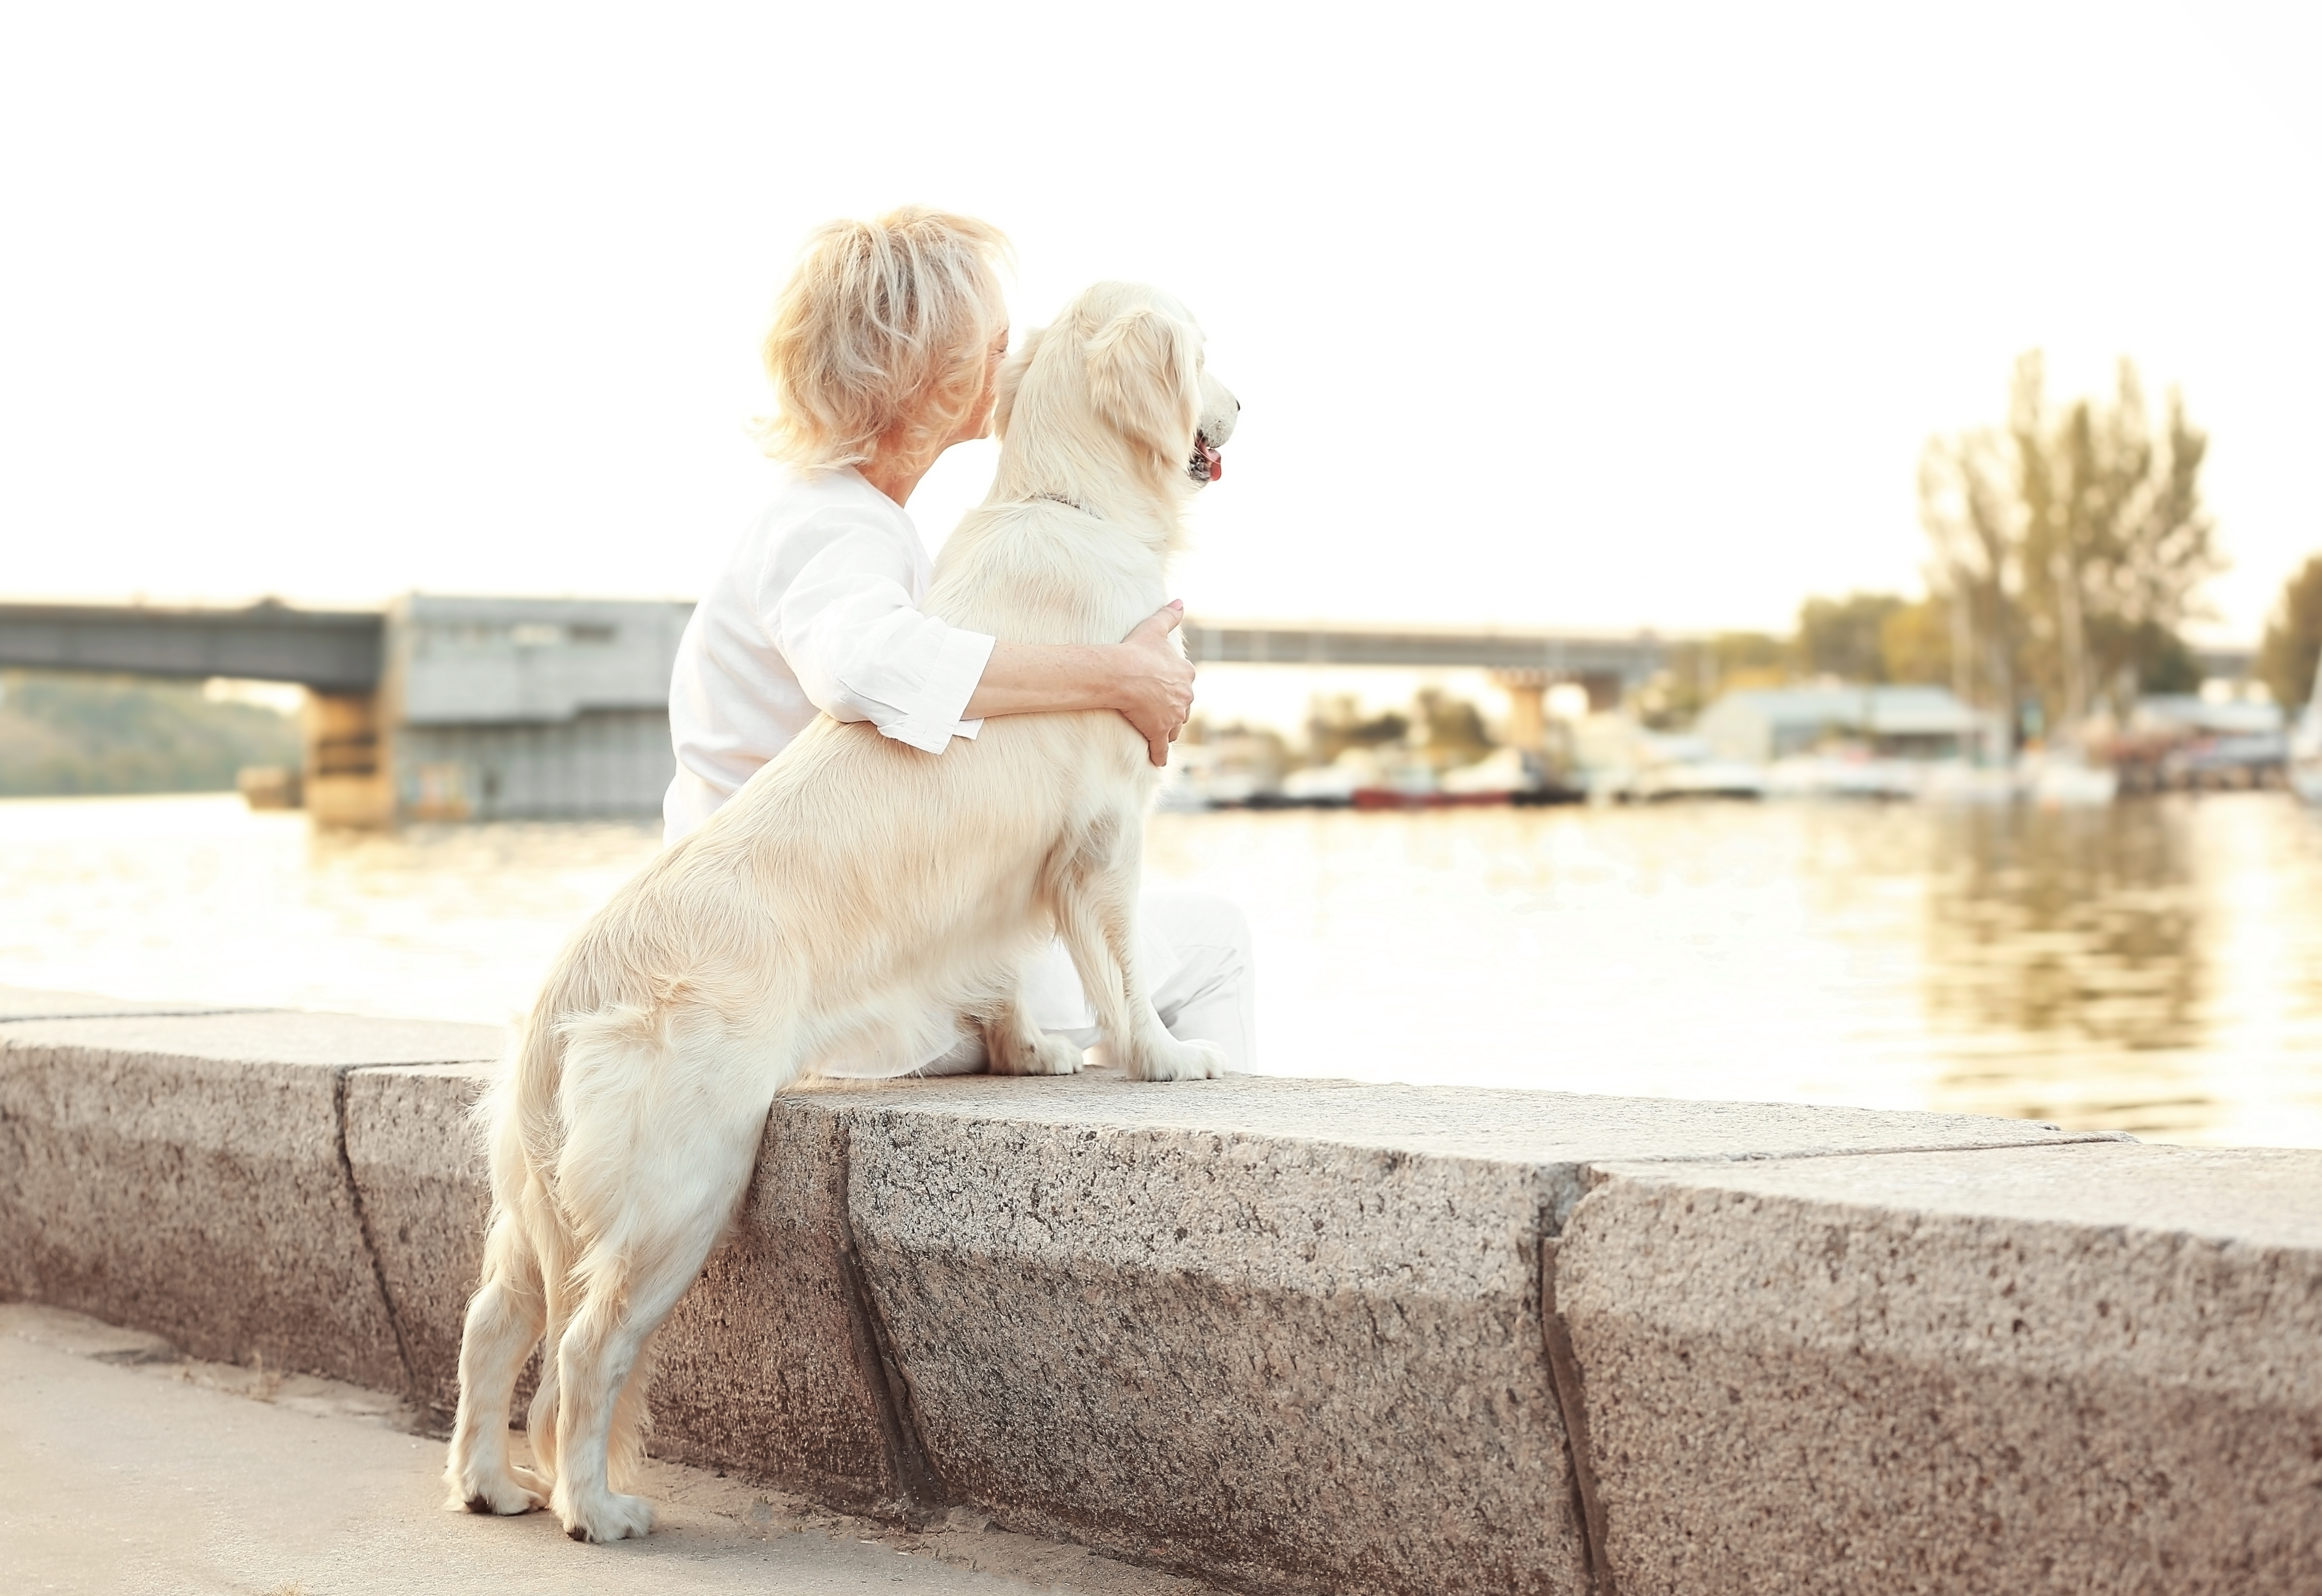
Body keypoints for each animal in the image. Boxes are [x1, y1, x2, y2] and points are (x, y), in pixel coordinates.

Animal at [439, 281, 1235, 1542]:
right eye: (1205, 356)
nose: (1245, 405)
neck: (1066, 497)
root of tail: (570, 987)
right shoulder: (1107, 832)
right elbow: (1117, 966)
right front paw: (1160, 1055)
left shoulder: (998, 888)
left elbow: (1001, 970)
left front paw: (1031, 1050)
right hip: (684, 1181)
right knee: (582, 1348)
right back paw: (594, 1505)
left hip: (540, 1189)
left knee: (491, 1317)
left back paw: (485, 1480)